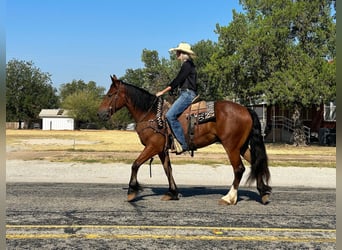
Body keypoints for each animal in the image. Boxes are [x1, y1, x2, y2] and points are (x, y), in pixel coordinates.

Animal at [97, 75, 272, 204]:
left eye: (110, 94)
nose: (100, 114)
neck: (151, 114)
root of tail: (246, 109)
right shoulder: (161, 150)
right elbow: (168, 169)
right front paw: (172, 192)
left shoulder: (152, 146)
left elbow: (135, 164)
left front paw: (132, 191)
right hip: (241, 146)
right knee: (255, 163)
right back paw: (263, 192)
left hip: (231, 146)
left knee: (239, 169)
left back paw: (229, 198)